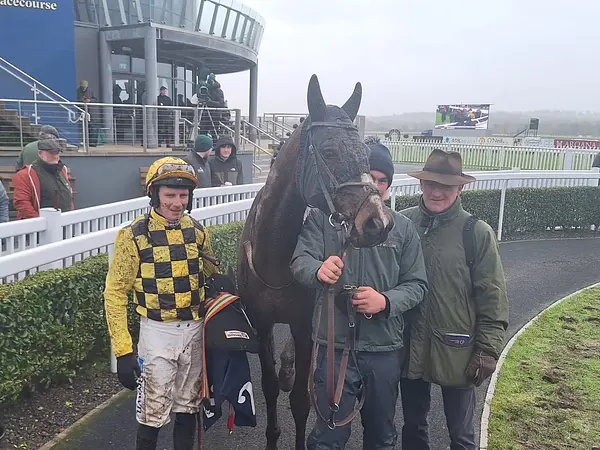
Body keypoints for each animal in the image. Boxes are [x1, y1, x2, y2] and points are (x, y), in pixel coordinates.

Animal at [237, 74, 393, 450]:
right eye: (329, 152)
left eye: (365, 153)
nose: (378, 223)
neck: (275, 257)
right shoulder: (261, 323)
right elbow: (269, 387)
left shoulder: (303, 325)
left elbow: (301, 399)